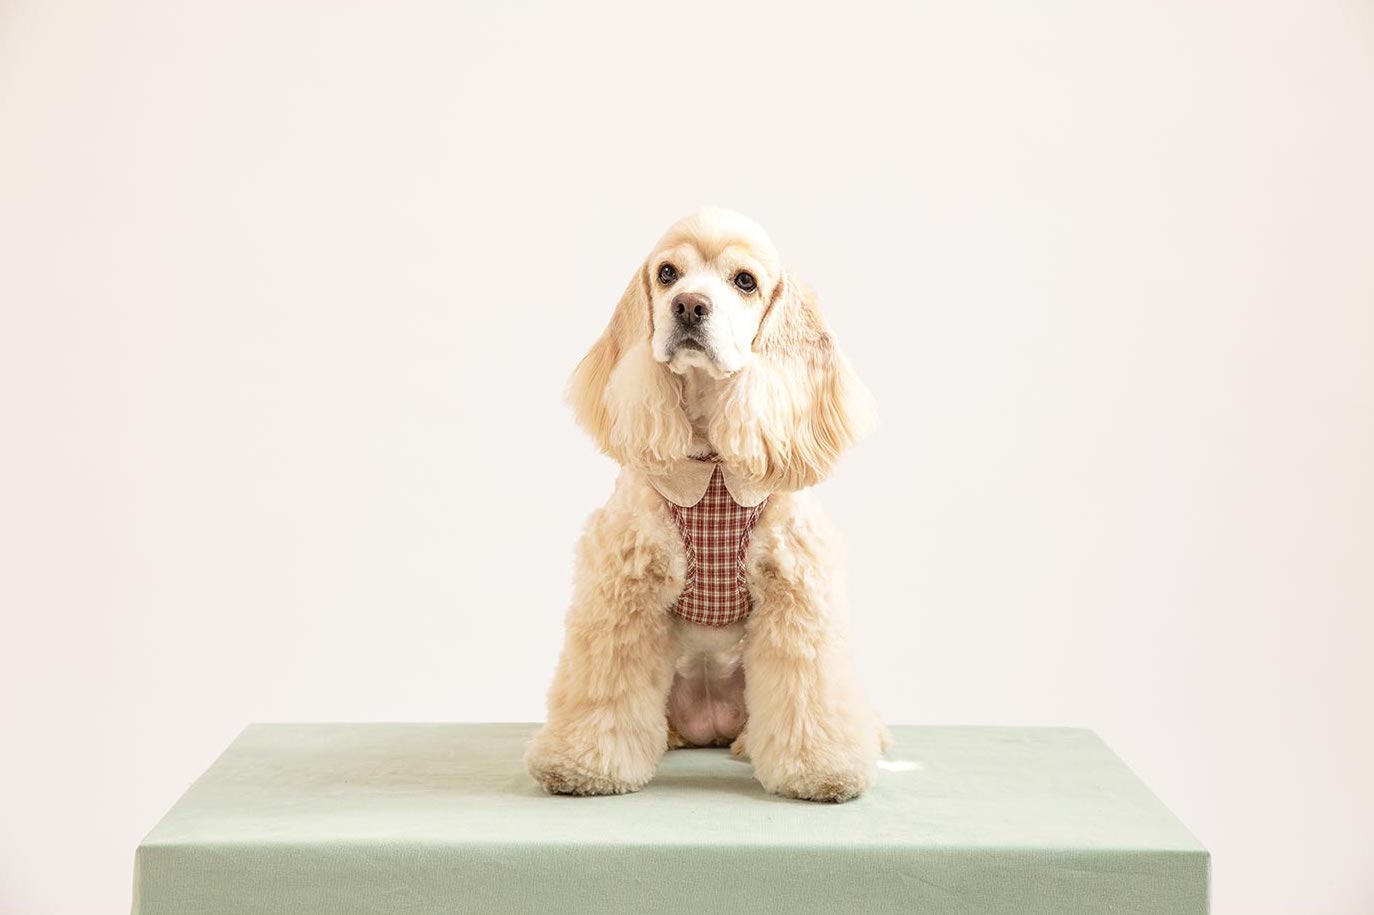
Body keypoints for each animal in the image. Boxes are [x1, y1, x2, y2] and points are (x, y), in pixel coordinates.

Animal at [519, 204, 884, 796]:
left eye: (745, 281)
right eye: (667, 273)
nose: (689, 305)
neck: (712, 465)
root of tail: (711, 726)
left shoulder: (796, 590)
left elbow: (809, 691)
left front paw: (820, 769)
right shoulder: (622, 587)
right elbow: (605, 686)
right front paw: (585, 764)